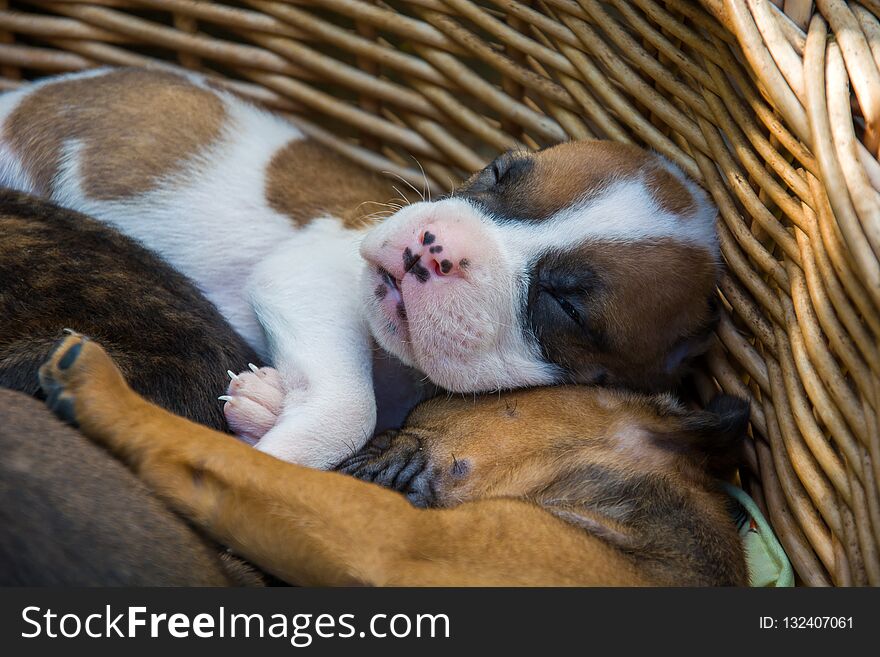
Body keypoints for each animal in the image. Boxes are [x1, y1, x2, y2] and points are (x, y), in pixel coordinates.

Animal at [1, 66, 720, 466]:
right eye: (496, 172)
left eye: (563, 304)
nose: (430, 246)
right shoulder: (313, 280)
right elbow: (352, 408)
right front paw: (272, 457)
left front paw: (265, 413)